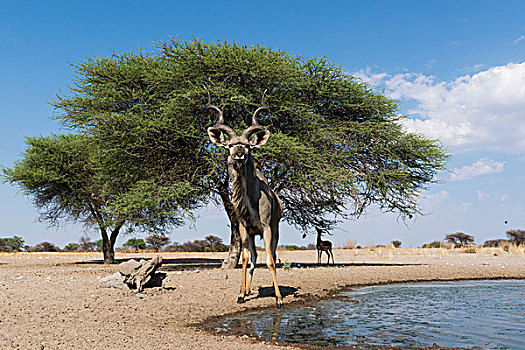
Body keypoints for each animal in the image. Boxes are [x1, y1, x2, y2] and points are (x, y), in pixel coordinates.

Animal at [206, 89, 286, 308]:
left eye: (248, 146)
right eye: (230, 146)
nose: (240, 154)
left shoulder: (267, 228)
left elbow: (270, 260)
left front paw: (278, 298)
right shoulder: (243, 228)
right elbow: (244, 259)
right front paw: (241, 294)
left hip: (275, 230)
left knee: (271, 255)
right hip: (251, 234)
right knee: (253, 257)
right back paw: (249, 290)